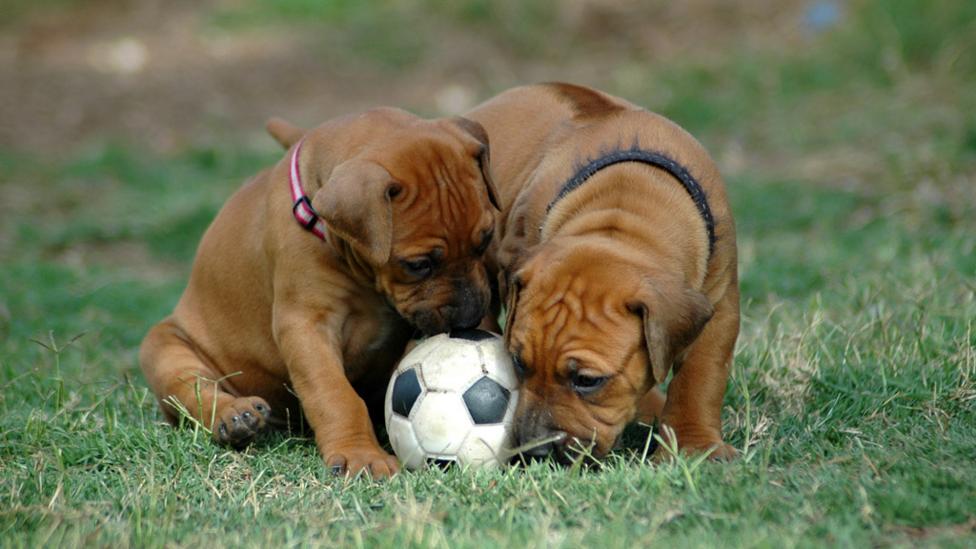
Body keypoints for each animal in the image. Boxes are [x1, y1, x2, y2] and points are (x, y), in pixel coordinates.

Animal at [140, 108, 500, 476]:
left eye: (485, 240)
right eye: (418, 265)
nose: (470, 319)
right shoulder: (306, 325)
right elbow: (334, 394)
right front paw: (360, 454)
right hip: (165, 349)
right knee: (193, 390)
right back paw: (234, 416)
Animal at [466, 83, 740, 462]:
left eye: (587, 380)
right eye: (519, 363)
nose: (537, 452)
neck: (624, 210)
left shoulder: (719, 302)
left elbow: (701, 376)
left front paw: (693, 445)